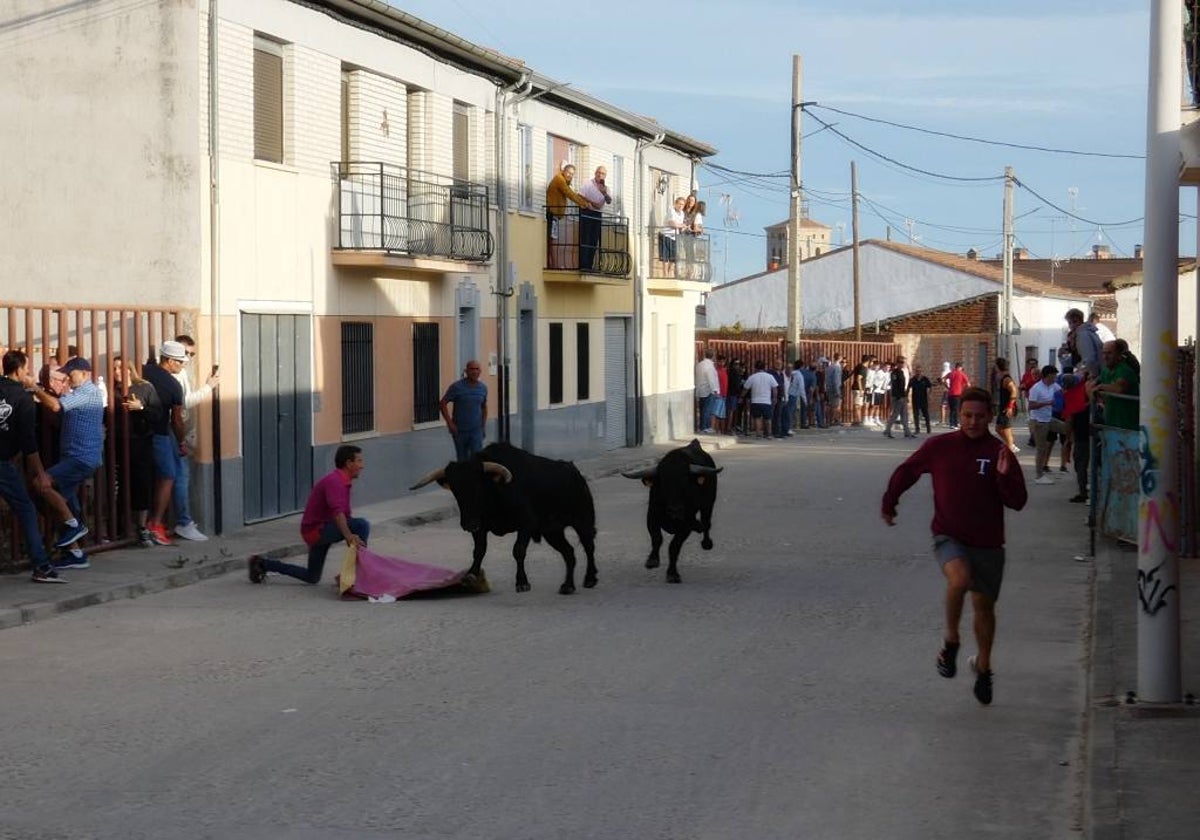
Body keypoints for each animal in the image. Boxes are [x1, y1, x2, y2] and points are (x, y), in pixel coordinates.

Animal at [412, 444, 600, 592]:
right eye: (455, 489)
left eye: (478, 485)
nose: (468, 524)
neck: (496, 492)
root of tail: (574, 471)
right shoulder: (480, 528)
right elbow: (479, 551)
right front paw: (471, 575)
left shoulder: (525, 525)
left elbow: (518, 550)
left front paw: (522, 582)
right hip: (552, 532)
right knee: (569, 552)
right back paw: (568, 586)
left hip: (583, 521)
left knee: (589, 546)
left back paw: (590, 578)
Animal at [624, 439, 715, 583]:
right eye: (663, 481)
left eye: (685, 481)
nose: (675, 510)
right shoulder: (652, 516)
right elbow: (657, 538)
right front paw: (652, 560)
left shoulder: (685, 526)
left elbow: (674, 547)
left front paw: (672, 573)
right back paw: (698, 526)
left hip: (708, 505)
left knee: (707, 523)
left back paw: (706, 542)